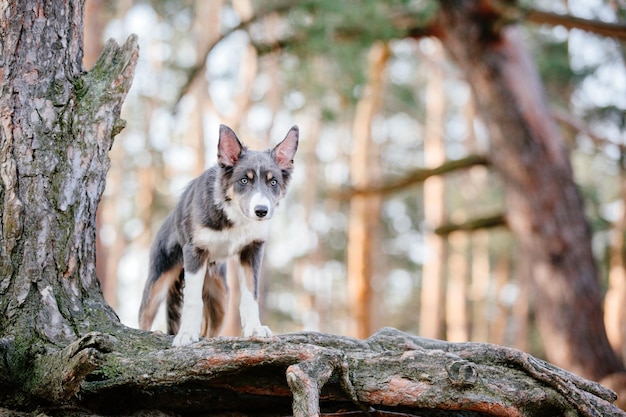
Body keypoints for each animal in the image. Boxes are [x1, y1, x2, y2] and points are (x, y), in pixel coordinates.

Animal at [138, 123, 298, 344]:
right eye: (244, 180)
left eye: (273, 182)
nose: (261, 211)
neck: (234, 216)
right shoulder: (194, 251)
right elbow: (193, 301)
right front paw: (186, 333)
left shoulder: (252, 250)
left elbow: (251, 294)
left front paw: (254, 328)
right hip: (158, 279)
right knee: (144, 316)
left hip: (220, 297)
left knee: (210, 330)